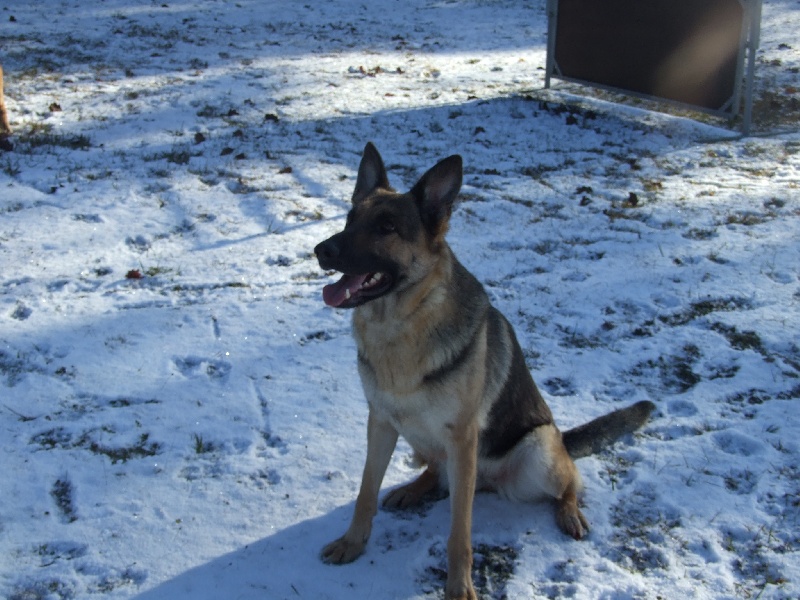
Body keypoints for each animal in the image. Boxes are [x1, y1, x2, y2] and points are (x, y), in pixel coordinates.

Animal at [314, 143, 655, 599]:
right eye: (350, 219)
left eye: (386, 227)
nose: (321, 251)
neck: (401, 325)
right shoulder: (381, 423)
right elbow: (365, 492)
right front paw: (353, 543)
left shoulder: (461, 438)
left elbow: (460, 531)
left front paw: (458, 587)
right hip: (417, 436)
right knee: (434, 470)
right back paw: (413, 490)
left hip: (539, 453)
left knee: (568, 483)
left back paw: (569, 511)